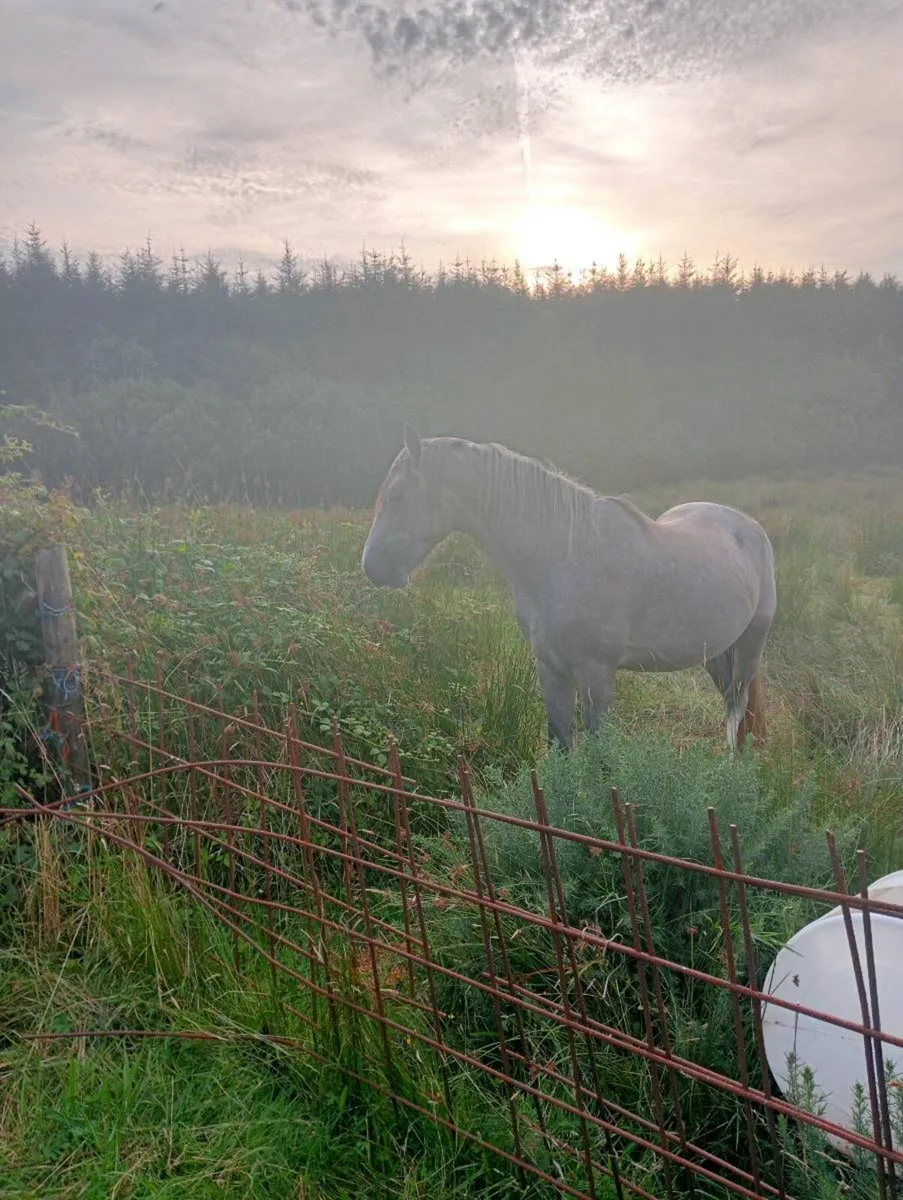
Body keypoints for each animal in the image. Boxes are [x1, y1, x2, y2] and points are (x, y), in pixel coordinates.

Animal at [361, 429, 776, 753]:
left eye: (397, 495)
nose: (372, 567)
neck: (564, 556)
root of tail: (748, 525)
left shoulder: (596, 675)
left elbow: (598, 755)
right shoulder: (550, 668)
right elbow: (559, 744)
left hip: (750, 644)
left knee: (738, 710)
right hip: (715, 653)